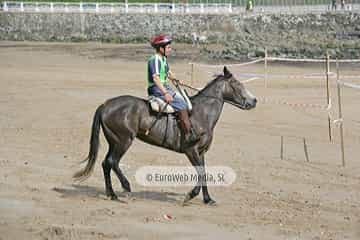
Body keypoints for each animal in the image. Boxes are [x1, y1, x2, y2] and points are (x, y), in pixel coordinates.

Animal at [73, 66, 256, 205]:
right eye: (236, 84)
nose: (254, 101)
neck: (201, 113)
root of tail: (106, 105)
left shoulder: (201, 152)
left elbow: (204, 172)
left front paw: (208, 199)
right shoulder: (191, 151)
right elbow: (201, 173)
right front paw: (190, 195)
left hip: (114, 141)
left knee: (106, 163)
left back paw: (112, 194)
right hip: (124, 141)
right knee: (112, 161)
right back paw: (126, 187)